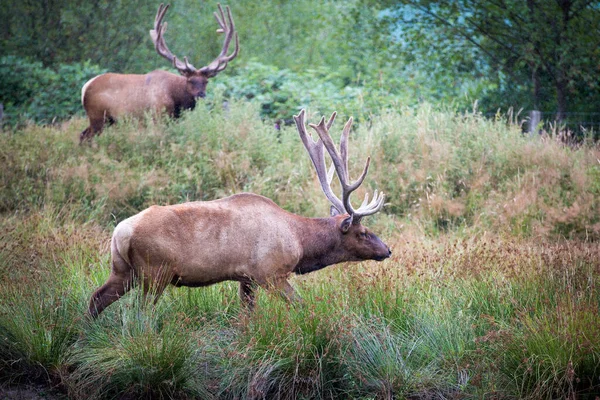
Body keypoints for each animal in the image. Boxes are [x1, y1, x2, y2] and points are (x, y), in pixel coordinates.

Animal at [78, 3, 238, 143]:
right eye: (190, 80)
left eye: (206, 81)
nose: (201, 94)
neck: (176, 100)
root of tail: (85, 87)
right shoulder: (158, 115)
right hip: (97, 116)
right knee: (86, 137)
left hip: (107, 120)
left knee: (82, 134)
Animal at [86, 108, 392, 318]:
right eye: (363, 232)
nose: (387, 250)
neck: (299, 242)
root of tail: (119, 232)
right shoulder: (269, 273)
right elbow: (300, 305)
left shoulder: (246, 279)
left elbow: (247, 316)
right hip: (154, 272)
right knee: (139, 313)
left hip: (122, 270)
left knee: (95, 299)